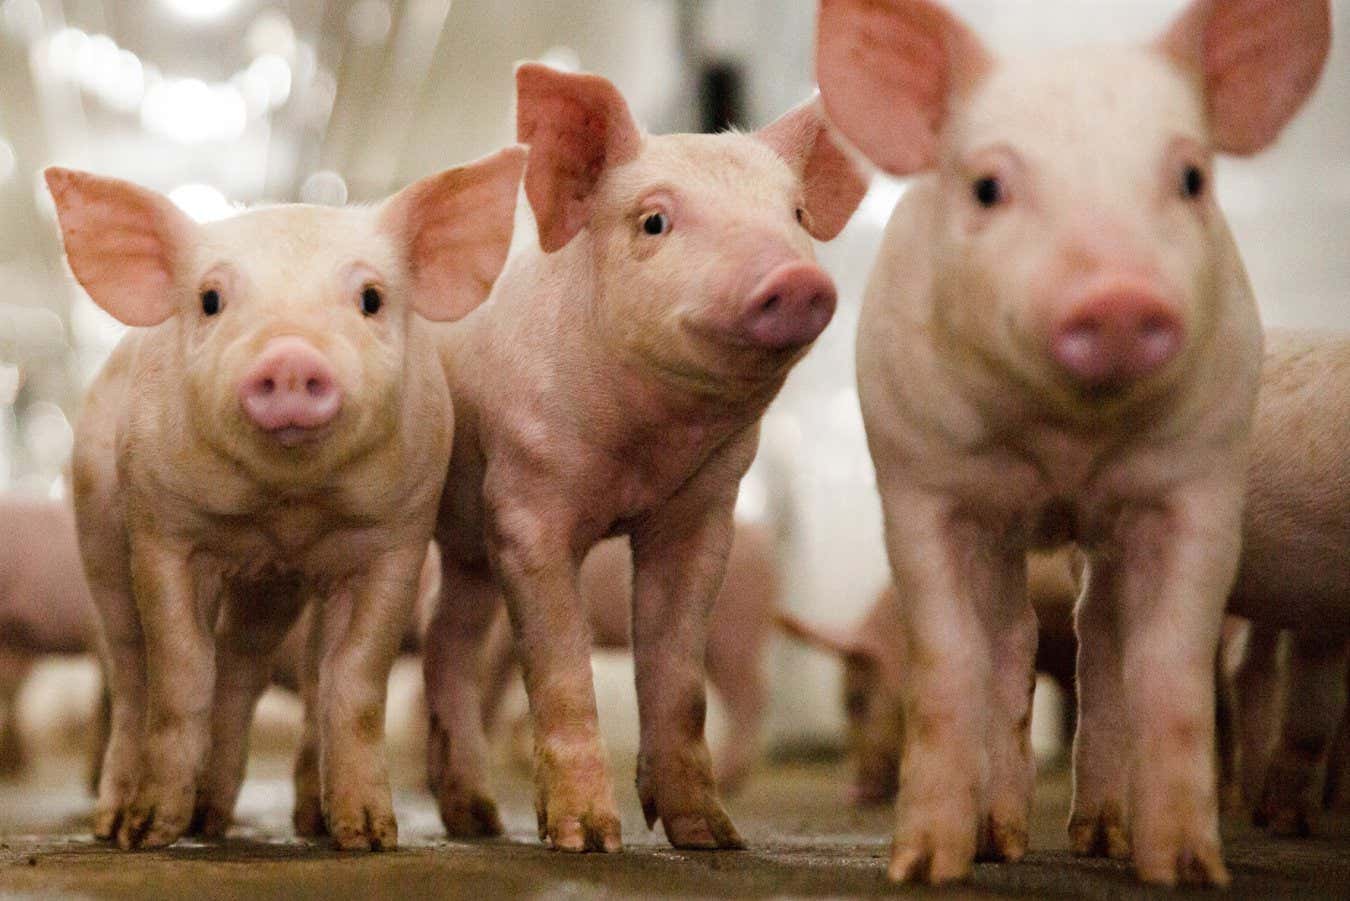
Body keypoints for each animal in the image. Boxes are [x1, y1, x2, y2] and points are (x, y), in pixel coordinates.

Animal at [48, 148, 525, 851]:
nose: (292, 357)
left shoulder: (396, 539)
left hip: (271, 590)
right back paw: (117, 824)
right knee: (133, 672)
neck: (286, 509)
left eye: (371, 299)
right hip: (98, 534)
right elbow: (181, 673)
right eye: (211, 299)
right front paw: (150, 833)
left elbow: (354, 679)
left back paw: (217, 819)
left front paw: (370, 837)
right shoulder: (164, 533)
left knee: (241, 665)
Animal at [816, 0, 1329, 885]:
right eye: (988, 187)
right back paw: (1001, 839)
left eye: (1192, 178)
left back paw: (1099, 836)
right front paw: (923, 867)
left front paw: (1188, 871)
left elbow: (1171, 668)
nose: (1119, 296)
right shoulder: (921, 484)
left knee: (1100, 642)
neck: (1065, 448)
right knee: (1015, 640)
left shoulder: (1197, 484)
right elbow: (951, 660)